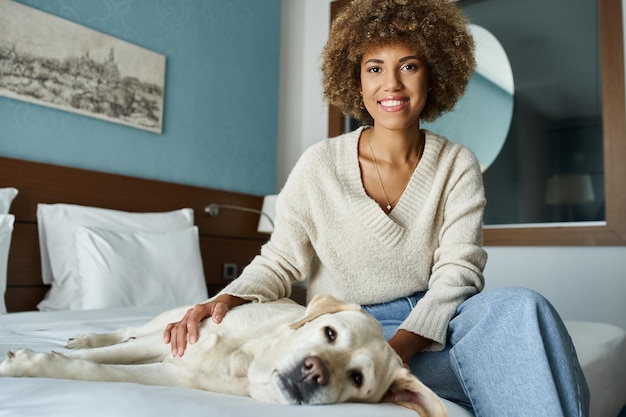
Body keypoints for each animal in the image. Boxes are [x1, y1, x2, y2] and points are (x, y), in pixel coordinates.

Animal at [2, 294, 446, 414]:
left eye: (357, 379)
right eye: (330, 333)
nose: (314, 371)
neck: (246, 361)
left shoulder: (173, 375)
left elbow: (101, 372)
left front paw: (34, 363)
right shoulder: (171, 342)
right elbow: (112, 355)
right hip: (171, 319)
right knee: (129, 332)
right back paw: (87, 338)